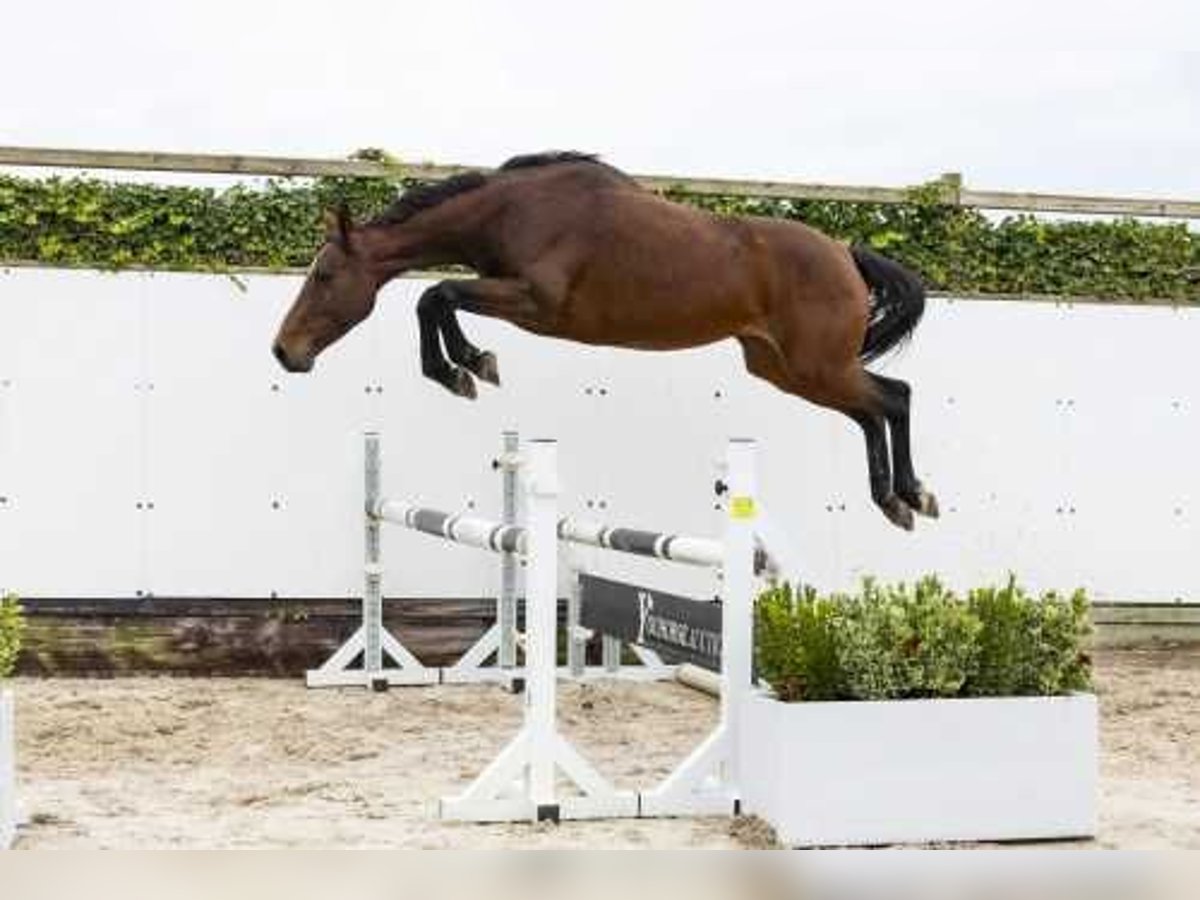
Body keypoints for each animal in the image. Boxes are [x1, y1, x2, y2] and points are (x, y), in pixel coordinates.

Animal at [272, 148, 936, 528]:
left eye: (324, 276)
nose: (284, 351)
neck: (513, 210)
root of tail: (845, 253)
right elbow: (438, 296)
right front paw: (467, 366)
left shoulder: (538, 304)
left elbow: (436, 294)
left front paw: (467, 367)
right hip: (786, 369)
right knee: (874, 407)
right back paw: (899, 500)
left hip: (815, 365)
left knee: (894, 397)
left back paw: (908, 496)